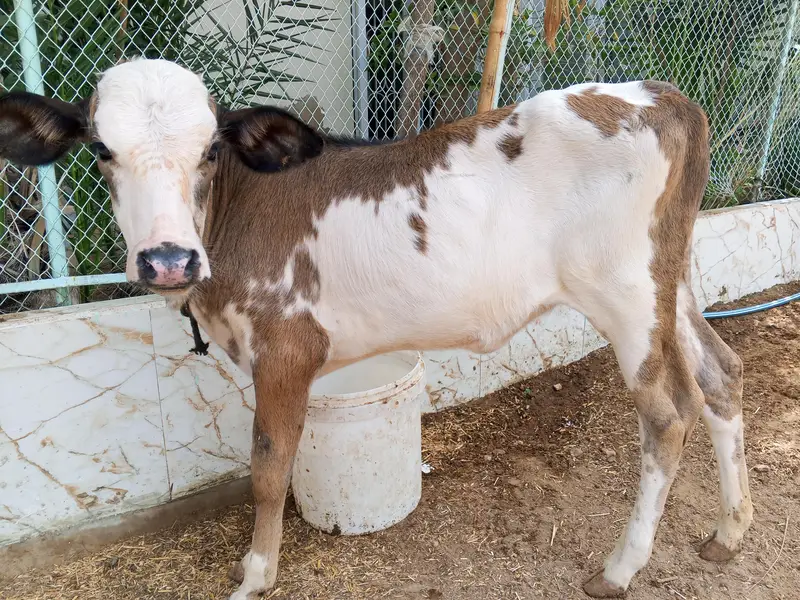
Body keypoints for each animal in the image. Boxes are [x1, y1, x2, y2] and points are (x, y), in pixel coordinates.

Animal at [0, 58, 752, 599]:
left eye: (211, 148)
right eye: (101, 148)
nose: (166, 258)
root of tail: (658, 94)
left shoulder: (285, 346)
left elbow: (268, 468)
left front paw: (256, 574)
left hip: (623, 292)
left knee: (667, 414)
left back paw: (619, 569)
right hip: (669, 281)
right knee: (720, 374)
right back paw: (729, 530)